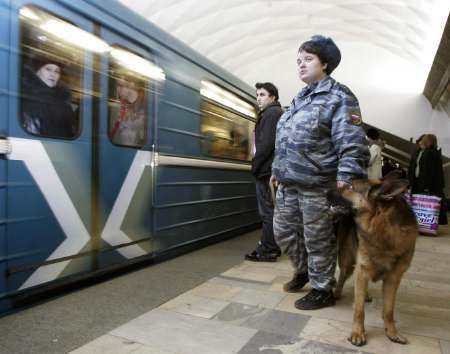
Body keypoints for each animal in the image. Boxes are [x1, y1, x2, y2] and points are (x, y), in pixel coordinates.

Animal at [330, 176, 418, 348]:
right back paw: (337, 292)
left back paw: (366, 294)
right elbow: (359, 310)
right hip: (348, 261)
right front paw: (357, 333)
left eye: (351, 186)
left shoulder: (392, 279)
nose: (325, 190)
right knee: (343, 276)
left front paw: (392, 332)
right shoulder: (362, 269)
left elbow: (389, 310)